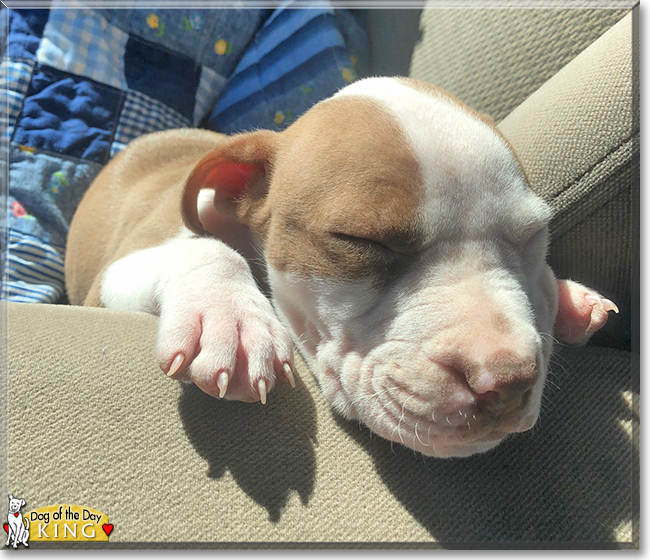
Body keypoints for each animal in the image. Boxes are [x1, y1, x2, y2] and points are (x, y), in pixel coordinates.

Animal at [63, 75, 616, 460]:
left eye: (533, 235)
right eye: (361, 241)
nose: (507, 381)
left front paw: (564, 297)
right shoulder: (107, 280)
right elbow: (205, 249)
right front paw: (230, 320)